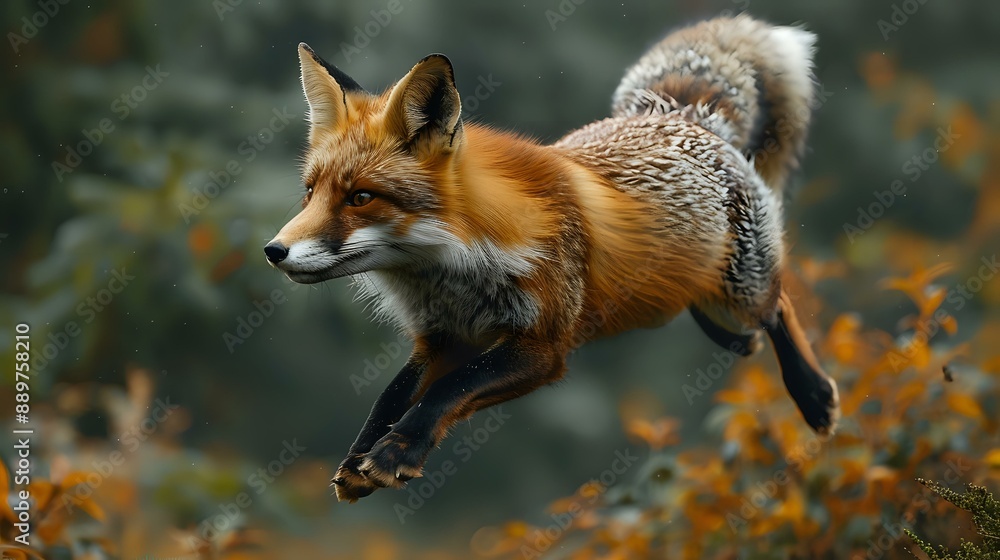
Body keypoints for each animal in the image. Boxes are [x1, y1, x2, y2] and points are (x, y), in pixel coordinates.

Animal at [264, 14, 840, 502]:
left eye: (360, 197)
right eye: (310, 193)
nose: (273, 251)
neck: (456, 268)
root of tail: (675, 114)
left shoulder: (543, 346)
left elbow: (449, 391)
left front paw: (395, 453)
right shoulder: (443, 337)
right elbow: (391, 397)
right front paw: (360, 458)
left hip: (742, 287)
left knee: (779, 307)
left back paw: (812, 394)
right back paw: (735, 343)